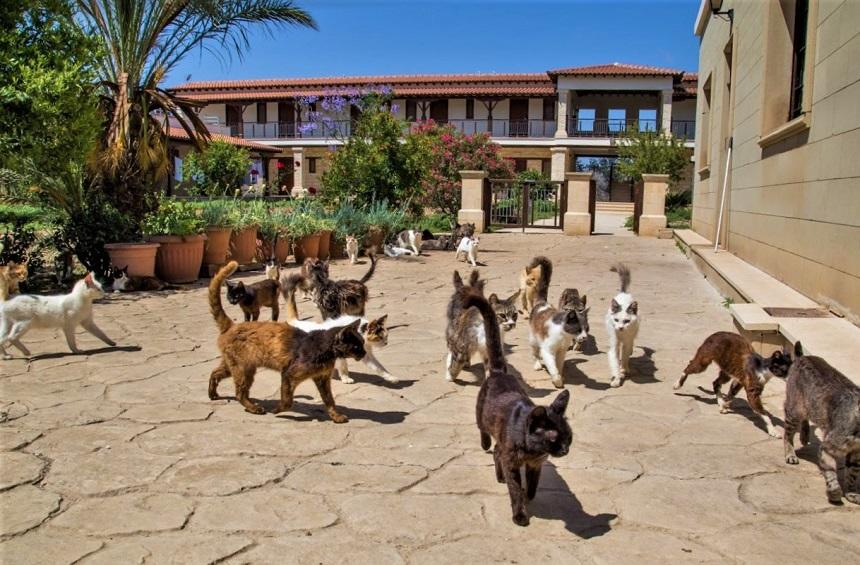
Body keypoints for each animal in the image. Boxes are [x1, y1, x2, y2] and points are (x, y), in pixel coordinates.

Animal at [212, 260, 370, 418]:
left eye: (363, 343)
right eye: (356, 346)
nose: (364, 353)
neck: (325, 350)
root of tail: (232, 326)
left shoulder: (322, 379)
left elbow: (329, 400)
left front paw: (337, 417)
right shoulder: (289, 375)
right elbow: (287, 399)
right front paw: (277, 410)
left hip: (236, 365)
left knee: (215, 374)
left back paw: (212, 394)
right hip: (243, 369)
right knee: (239, 393)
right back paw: (254, 408)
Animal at [464, 284, 572, 528]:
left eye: (568, 437)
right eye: (553, 437)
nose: (565, 450)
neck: (533, 451)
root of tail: (498, 372)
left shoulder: (535, 465)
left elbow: (532, 486)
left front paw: (528, 496)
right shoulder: (512, 462)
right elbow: (515, 489)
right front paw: (520, 514)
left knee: (496, 452)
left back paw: (499, 475)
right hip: (481, 416)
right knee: (486, 437)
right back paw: (488, 450)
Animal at [784, 340, 856, 502]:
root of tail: (802, 357)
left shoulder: (856, 453)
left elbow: (854, 473)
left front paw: (852, 493)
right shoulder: (828, 446)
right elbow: (830, 471)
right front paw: (835, 491)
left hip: (809, 406)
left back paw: (804, 435)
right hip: (795, 409)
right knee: (787, 433)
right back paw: (790, 454)